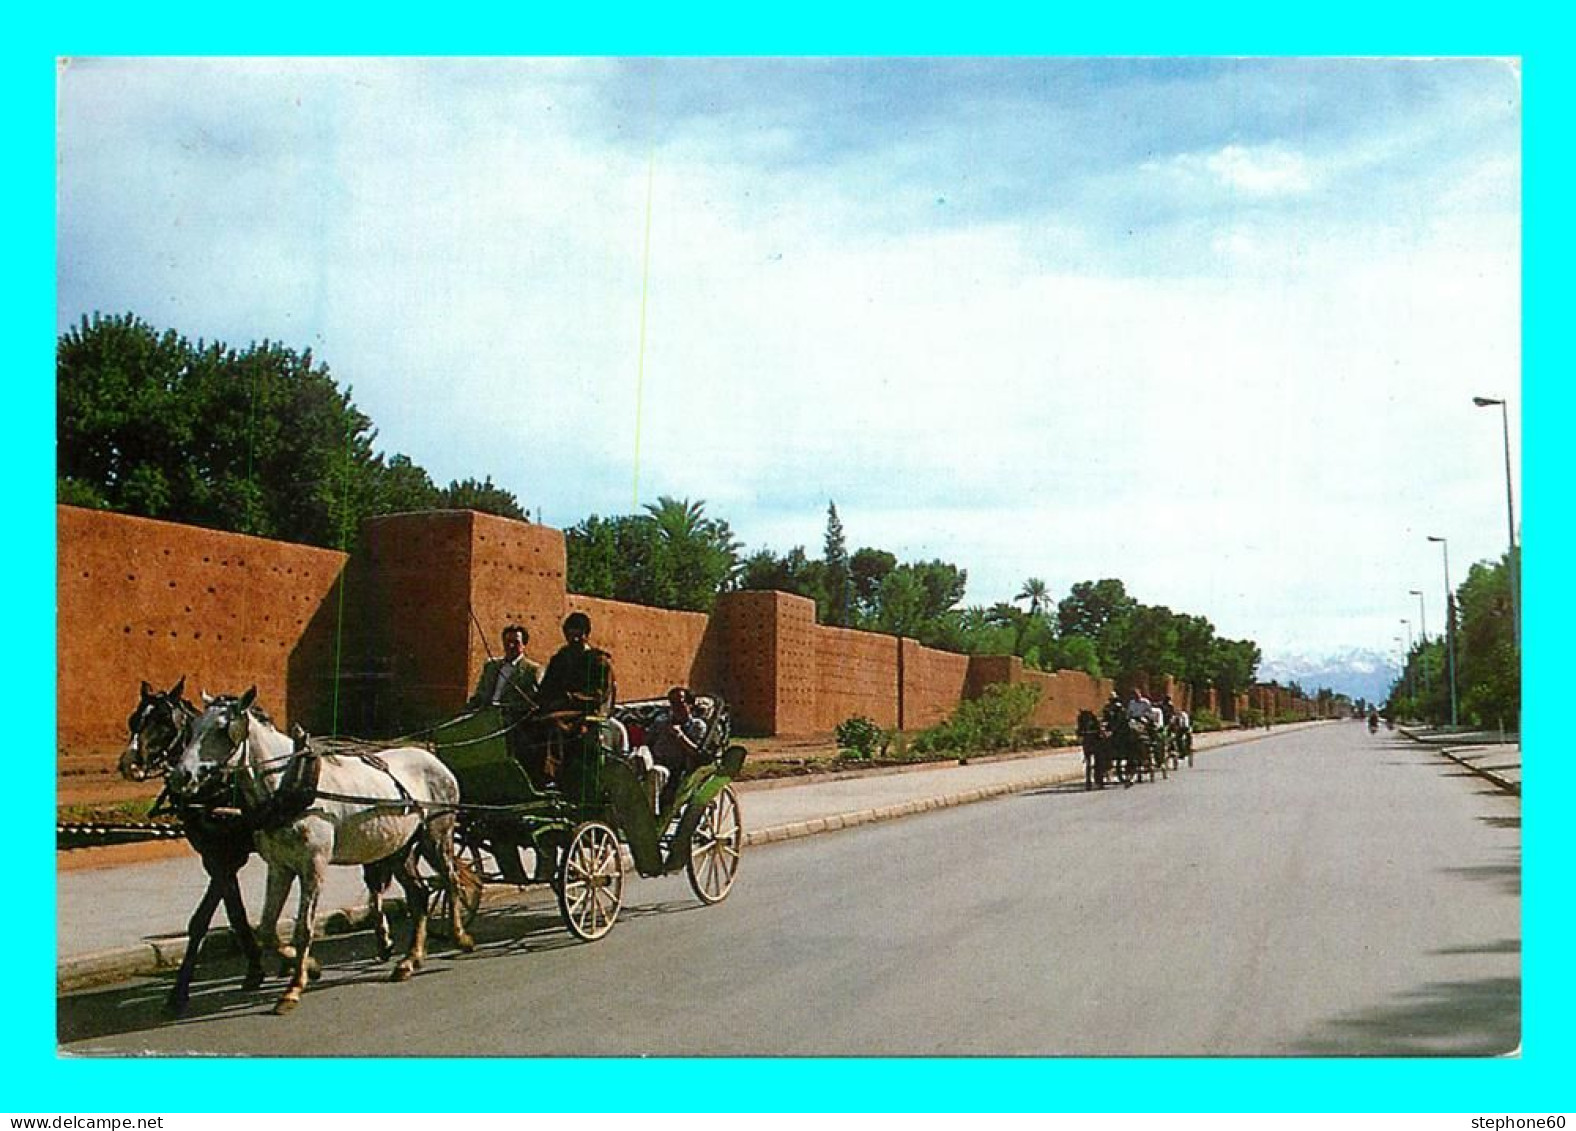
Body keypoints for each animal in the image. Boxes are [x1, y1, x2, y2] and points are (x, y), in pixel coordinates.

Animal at [170, 689, 472, 1020]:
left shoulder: (313, 865)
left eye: (223, 729)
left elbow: (304, 927)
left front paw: (293, 988)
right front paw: (309, 967)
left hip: (436, 835)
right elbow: (266, 928)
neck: (289, 785)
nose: (181, 776)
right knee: (418, 894)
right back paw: (410, 960)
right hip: (398, 848)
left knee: (451, 880)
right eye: (193, 728)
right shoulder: (279, 866)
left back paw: (460, 937)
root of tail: (433, 757)